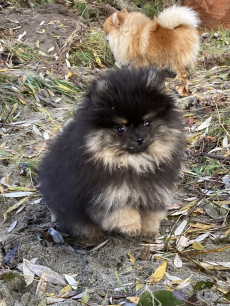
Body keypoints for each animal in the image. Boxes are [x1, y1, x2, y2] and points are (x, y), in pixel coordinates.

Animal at [39, 67, 183, 239]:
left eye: (147, 123)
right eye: (121, 129)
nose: (139, 139)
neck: (133, 162)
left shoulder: (154, 189)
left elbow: (152, 212)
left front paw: (148, 229)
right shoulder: (106, 195)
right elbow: (121, 212)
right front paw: (132, 227)